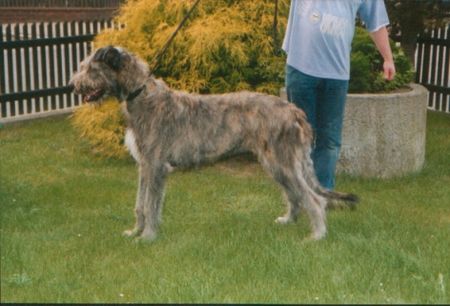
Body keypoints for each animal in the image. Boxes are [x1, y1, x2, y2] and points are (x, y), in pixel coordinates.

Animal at [69, 46, 358, 241]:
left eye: (91, 69)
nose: (73, 85)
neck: (141, 94)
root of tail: (295, 111)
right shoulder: (145, 166)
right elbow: (141, 203)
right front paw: (135, 231)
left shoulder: (156, 165)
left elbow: (151, 204)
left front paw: (148, 236)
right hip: (276, 164)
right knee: (295, 195)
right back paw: (289, 220)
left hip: (284, 162)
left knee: (313, 198)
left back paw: (317, 234)